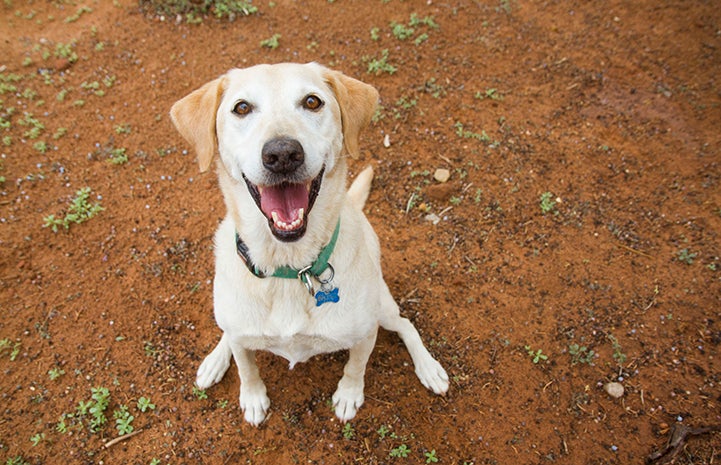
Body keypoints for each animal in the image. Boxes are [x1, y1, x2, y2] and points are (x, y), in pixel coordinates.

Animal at [171, 62, 448, 424]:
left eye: (312, 101)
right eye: (241, 108)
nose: (282, 153)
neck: (289, 267)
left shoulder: (365, 333)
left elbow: (355, 367)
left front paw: (349, 395)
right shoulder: (241, 337)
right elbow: (246, 367)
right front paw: (253, 397)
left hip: (383, 308)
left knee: (405, 324)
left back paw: (429, 368)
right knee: (230, 336)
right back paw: (215, 360)